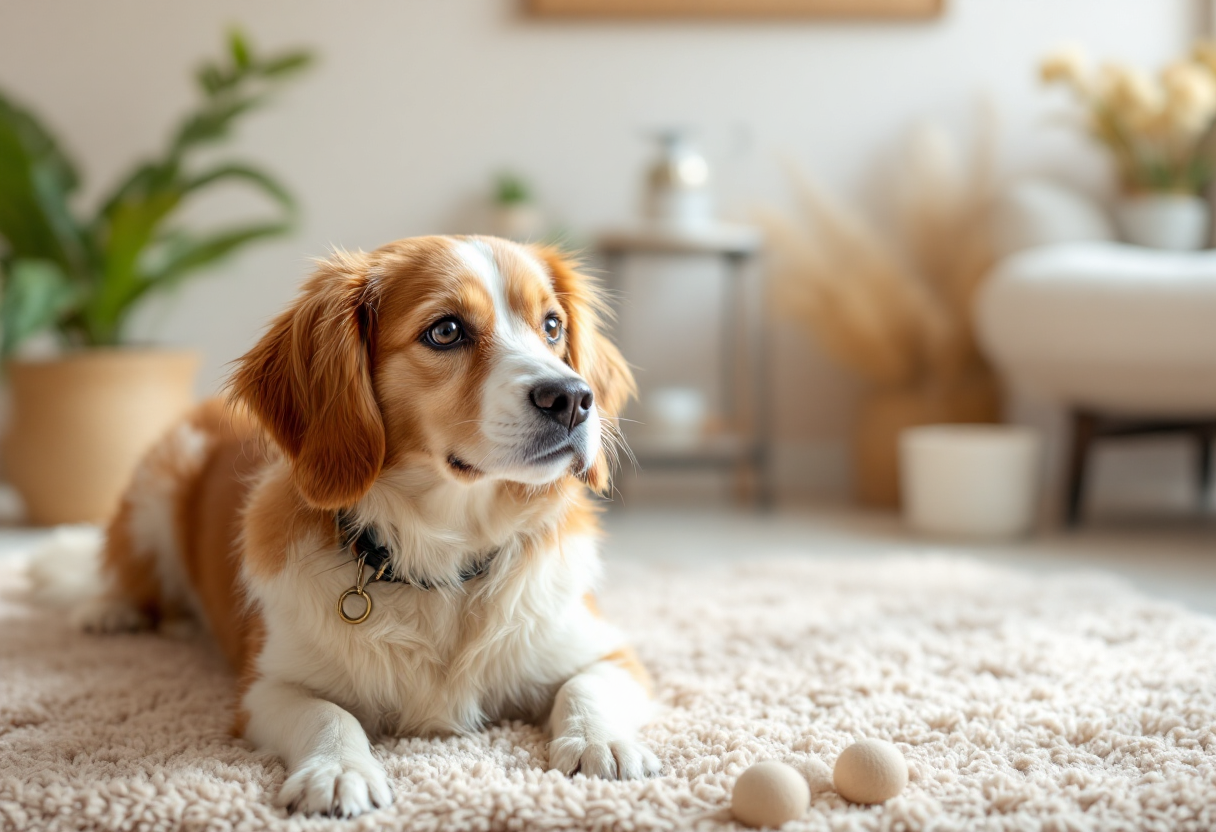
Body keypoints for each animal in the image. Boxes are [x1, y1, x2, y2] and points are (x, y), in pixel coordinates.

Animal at [74, 235, 656, 817]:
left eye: (552, 326)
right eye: (446, 331)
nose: (573, 398)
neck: (443, 559)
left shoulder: (608, 652)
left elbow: (585, 688)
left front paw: (603, 742)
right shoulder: (265, 687)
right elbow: (329, 714)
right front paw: (338, 770)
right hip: (156, 490)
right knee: (127, 574)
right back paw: (111, 611)